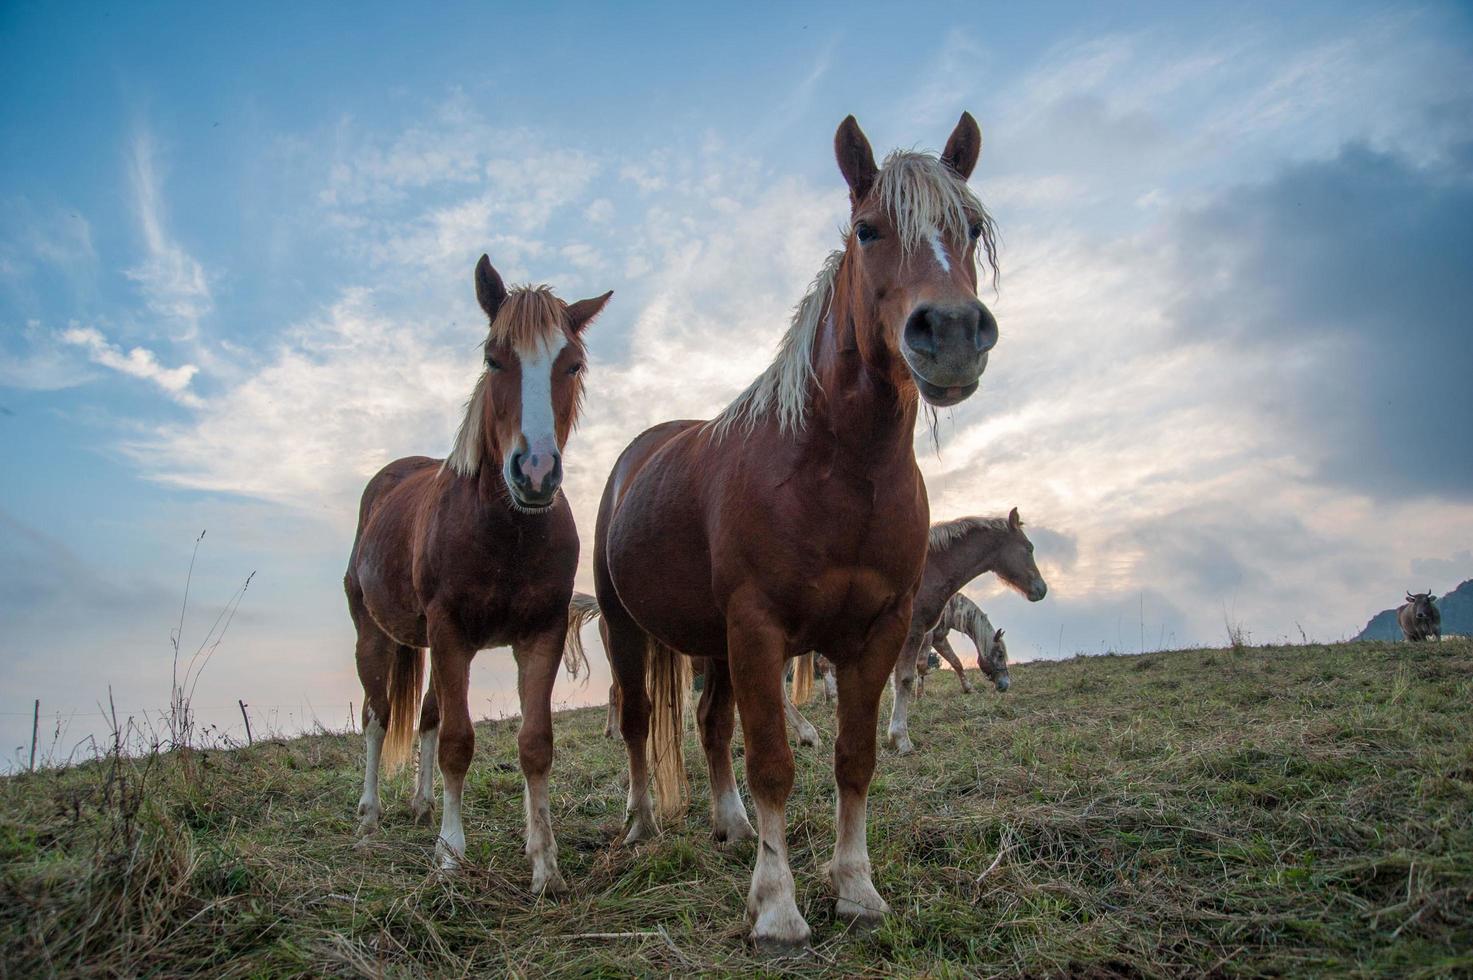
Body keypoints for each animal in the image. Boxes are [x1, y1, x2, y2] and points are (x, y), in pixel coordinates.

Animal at [344, 253, 609, 896]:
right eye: (494, 357)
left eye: (572, 363)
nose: (535, 473)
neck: (505, 529)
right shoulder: (451, 634)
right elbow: (459, 743)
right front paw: (450, 854)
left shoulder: (540, 635)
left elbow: (534, 744)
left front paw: (545, 864)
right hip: (376, 637)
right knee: (377, 717)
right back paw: (369, 817)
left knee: (425, 716)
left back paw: (419, 805)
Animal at [589, 112, 1001, 949]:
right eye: (867, 229)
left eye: (970, 227)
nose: (950, 332)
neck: (836, 470)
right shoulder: (759, 628)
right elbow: (774, 763)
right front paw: (777, 909)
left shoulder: (874, 633)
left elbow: (853, 758)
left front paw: (856, 889)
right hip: (628, 629)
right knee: (641, 723)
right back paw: (642, 824)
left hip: (712, 643)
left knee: (710, 727)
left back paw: (732, 827)